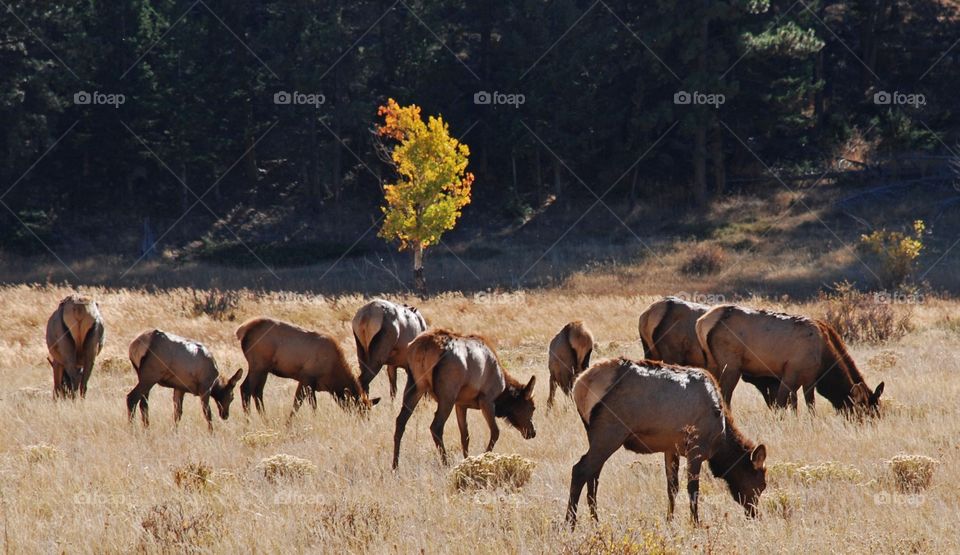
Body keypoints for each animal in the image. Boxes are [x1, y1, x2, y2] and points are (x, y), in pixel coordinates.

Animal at [236, 318, 378, 416]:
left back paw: (264, 419)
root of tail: (242, 331)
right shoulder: (306, 378)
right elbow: (298, 404)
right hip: (258, 365)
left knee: (257, 391)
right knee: (246, 389)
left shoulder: (312, 385)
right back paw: (249, 421)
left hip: (263, 369)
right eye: (360, 409)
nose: (363, 422)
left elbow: (311, 405)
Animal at [392, 330, 540, 470]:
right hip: (447, 394)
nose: (532, 432)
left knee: (400, 421)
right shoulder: (487, 399)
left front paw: (467, 460)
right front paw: (484, 458)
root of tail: (424, 347)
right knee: (436, 426)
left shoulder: (461, 404)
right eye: (532, 407)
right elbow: (495, 432)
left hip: (415, 386)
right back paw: (445, 464)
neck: (503, 389)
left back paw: (395, 466)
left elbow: (465, 436)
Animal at [568, 358, 768, 528]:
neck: (720, 440)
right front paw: (695, 523)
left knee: (593, 475)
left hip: (596, 435)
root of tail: (579, 386)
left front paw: (670, 520)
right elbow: (692, 489)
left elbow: (672, 487)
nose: (754, 514)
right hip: (610, 432)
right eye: (761, 484)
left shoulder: (671, 448)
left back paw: (595, 521)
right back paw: (570, 523)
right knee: (580, 470)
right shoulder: (696, 448)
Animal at [692, 306, 880, 414]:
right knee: (725, 396)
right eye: (866, 410)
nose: (869, 426)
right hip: (730, 365)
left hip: (712, 364)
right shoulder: (797, 372)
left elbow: (793, 403)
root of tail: (701, 322)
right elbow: (797, 403)